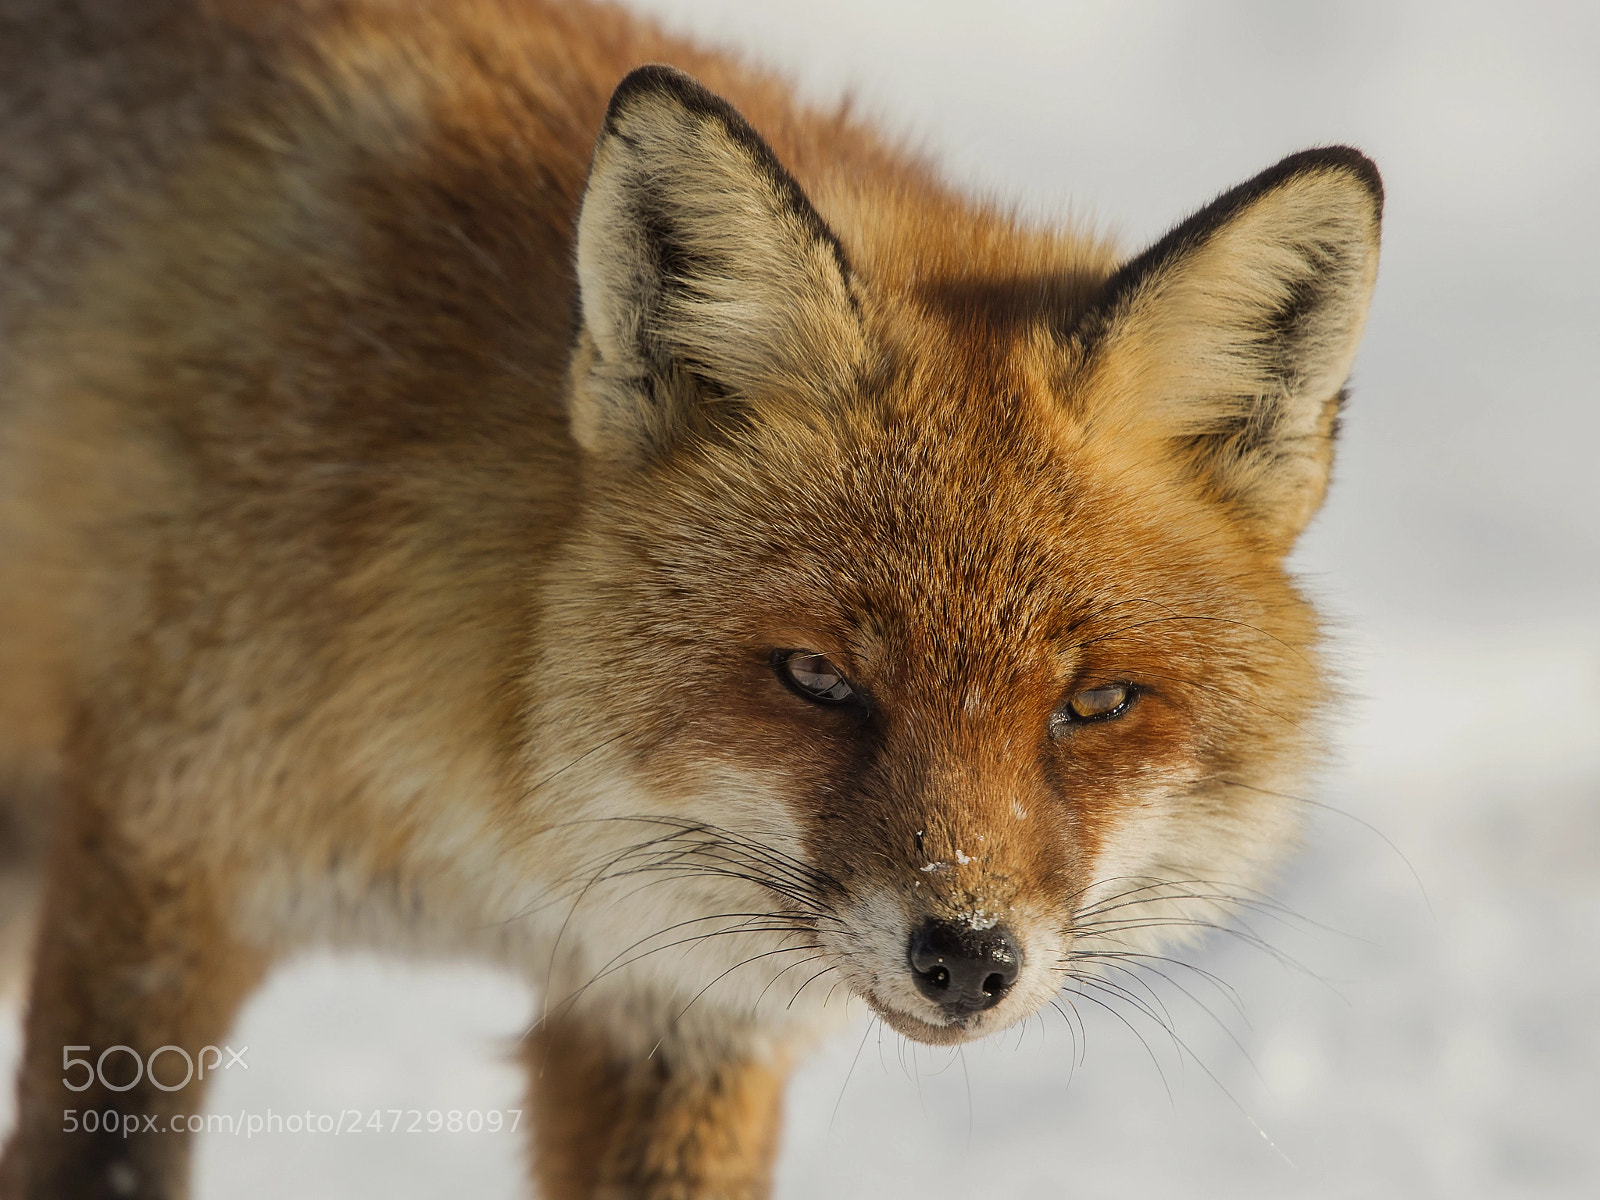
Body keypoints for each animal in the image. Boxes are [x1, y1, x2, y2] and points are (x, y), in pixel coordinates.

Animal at [0, 1, 1382, 1197]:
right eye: (819, 678)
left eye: (1095, 705)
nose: (966, 959)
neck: (512, 829)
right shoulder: (158, 861)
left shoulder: (676, 1014)